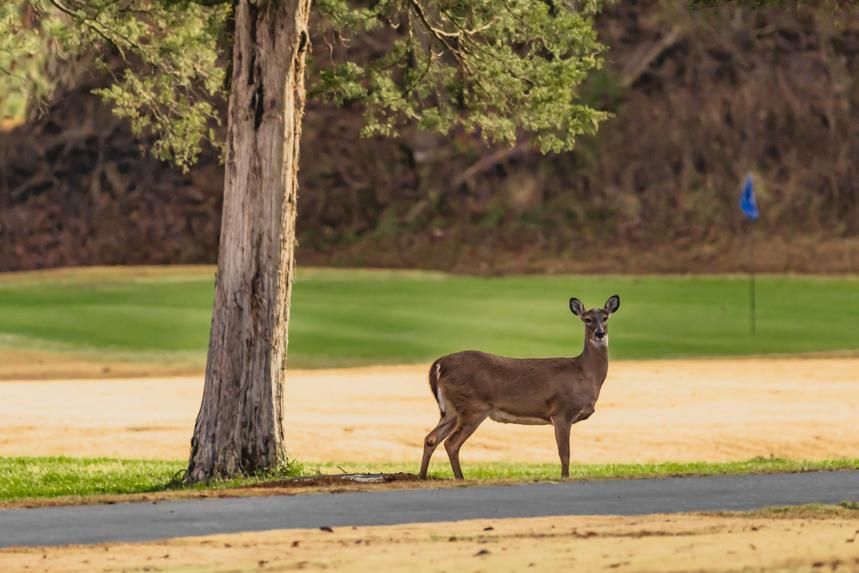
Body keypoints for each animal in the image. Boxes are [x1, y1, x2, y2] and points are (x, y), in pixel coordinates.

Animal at [418, 295, 620, 480]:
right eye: (587, 319)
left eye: (605, 317)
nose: (600, 333)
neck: (584, 373)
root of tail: (439, 364)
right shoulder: (562, 411)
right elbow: (565, 455)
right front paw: (565, 478)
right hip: (473, 406)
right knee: (451, 443)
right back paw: (459, 478)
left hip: (451, 410)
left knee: (431, 438)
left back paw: (421, 476)